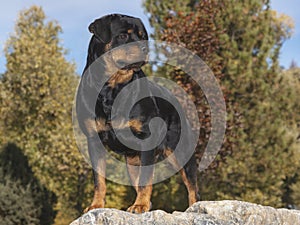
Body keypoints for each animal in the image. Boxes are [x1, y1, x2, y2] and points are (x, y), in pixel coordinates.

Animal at [76, 13, 200, 214]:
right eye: (123, 36)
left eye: (142, 36)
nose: (145, 47)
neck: (112, 88)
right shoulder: (94, 140)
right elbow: (99, 181)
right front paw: (96, 205)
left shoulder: (146, 138)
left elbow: (145, 180)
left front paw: (140, 205)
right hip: (133, 161)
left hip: (180, 149)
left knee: (192, 186)